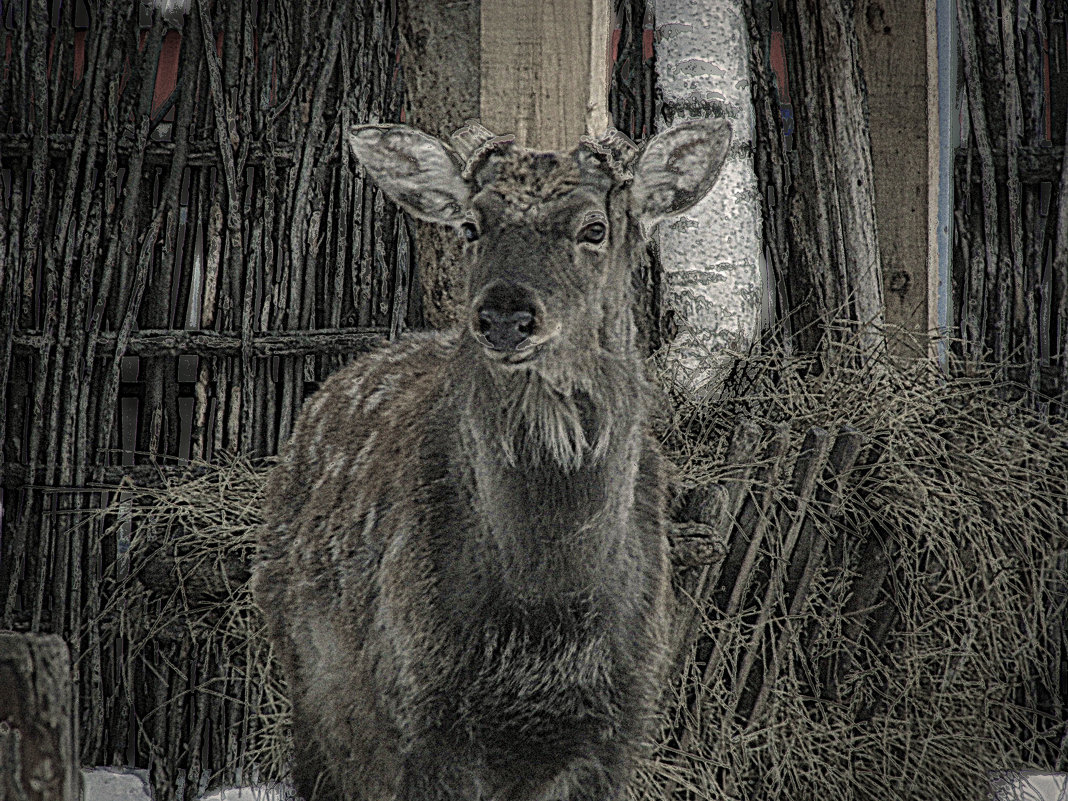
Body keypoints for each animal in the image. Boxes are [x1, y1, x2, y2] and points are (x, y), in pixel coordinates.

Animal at [254, 114, 730, 801]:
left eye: (595, 228)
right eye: (472, 225)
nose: (506, 313)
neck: (548, 608)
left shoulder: (622, 721)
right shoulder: (424, 711)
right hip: (314, 697)